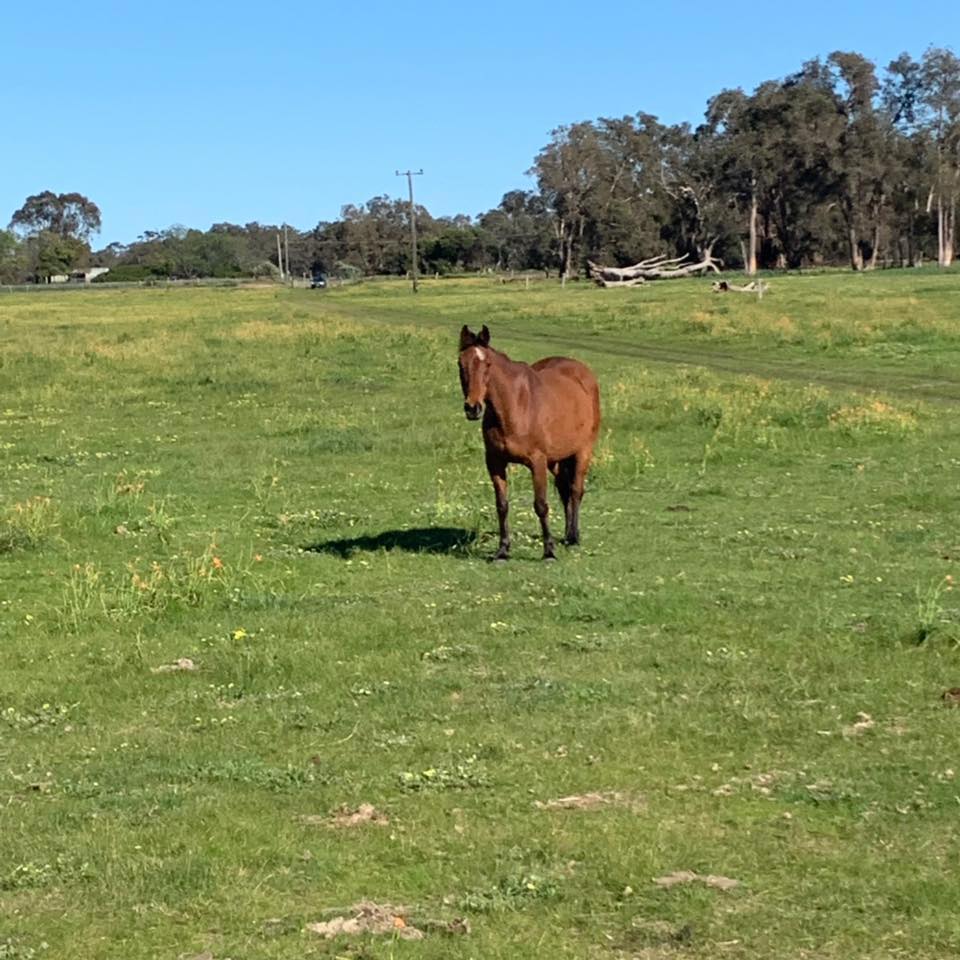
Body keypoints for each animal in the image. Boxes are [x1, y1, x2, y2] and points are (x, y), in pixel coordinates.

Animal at [457, 324, 601, 561]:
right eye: (461, 364)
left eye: (487, 365)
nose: (473, 408)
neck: (514, 407)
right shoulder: (495, 463)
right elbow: (502, 506)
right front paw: (503, 551)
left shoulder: (537, 462)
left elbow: (541, 505)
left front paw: (549, 552)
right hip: (557, 460)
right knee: (565, 491)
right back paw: (566, 534)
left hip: (583, 452)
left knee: (575, 490)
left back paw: (573, 537)